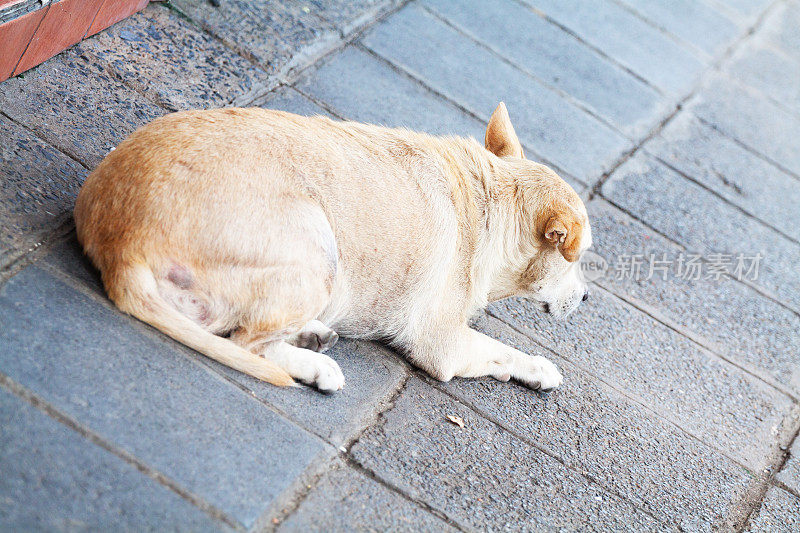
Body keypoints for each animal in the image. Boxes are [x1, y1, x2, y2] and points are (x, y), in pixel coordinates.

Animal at [73, 102, 588, 390]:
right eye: (575, 262)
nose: (586, 297)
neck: (492, 204)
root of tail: (121, 244)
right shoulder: (441, 342)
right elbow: (501, 348)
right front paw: (537, 368)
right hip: (319, 249)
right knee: (246, 343)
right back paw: (317, 366)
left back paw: (313, 336)